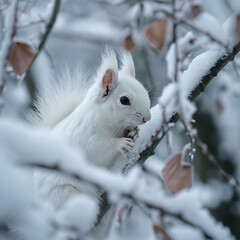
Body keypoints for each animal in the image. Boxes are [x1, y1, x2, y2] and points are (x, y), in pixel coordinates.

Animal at [30, 48, 151, 234]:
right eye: (124, 100)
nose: (148, 117)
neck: (109, 124)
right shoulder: (82, 136)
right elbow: (97, 148)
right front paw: (121, 144)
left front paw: (134, 132)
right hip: (66, 197)